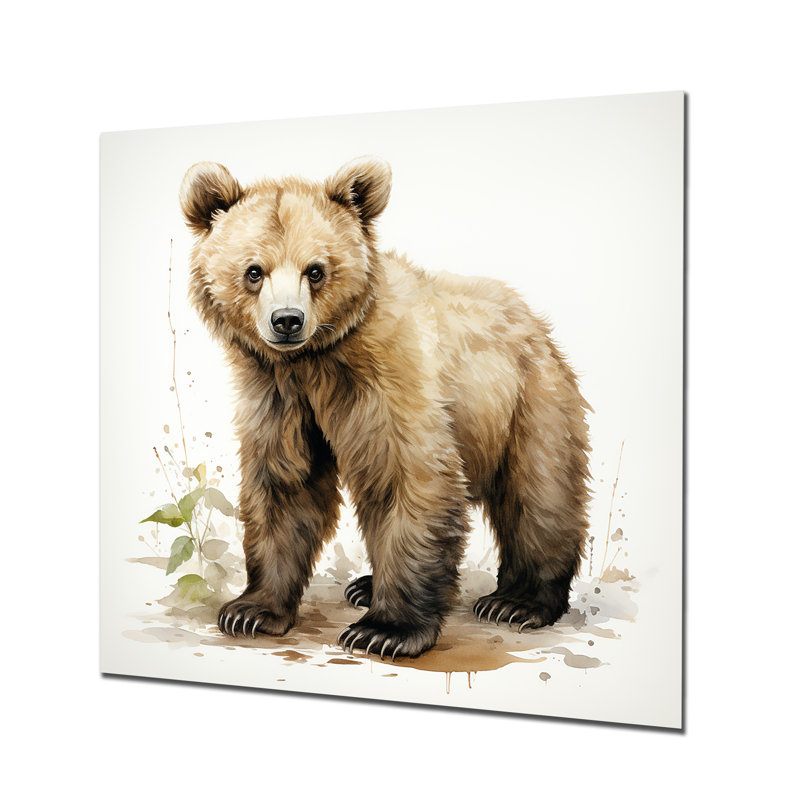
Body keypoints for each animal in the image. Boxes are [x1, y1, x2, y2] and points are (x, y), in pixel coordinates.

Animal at [179, 156, 590, 659]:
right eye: (254, 271)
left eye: (316, 270)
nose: (287, 321)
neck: (316, 359)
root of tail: (533, 319)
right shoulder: (279, 396)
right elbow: (284, 483)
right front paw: (251, 610)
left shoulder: (390, 380)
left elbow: (408, 477)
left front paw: (385, 630)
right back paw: (365, 585)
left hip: (528, 398)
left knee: (540, 492)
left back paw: (517, 601)